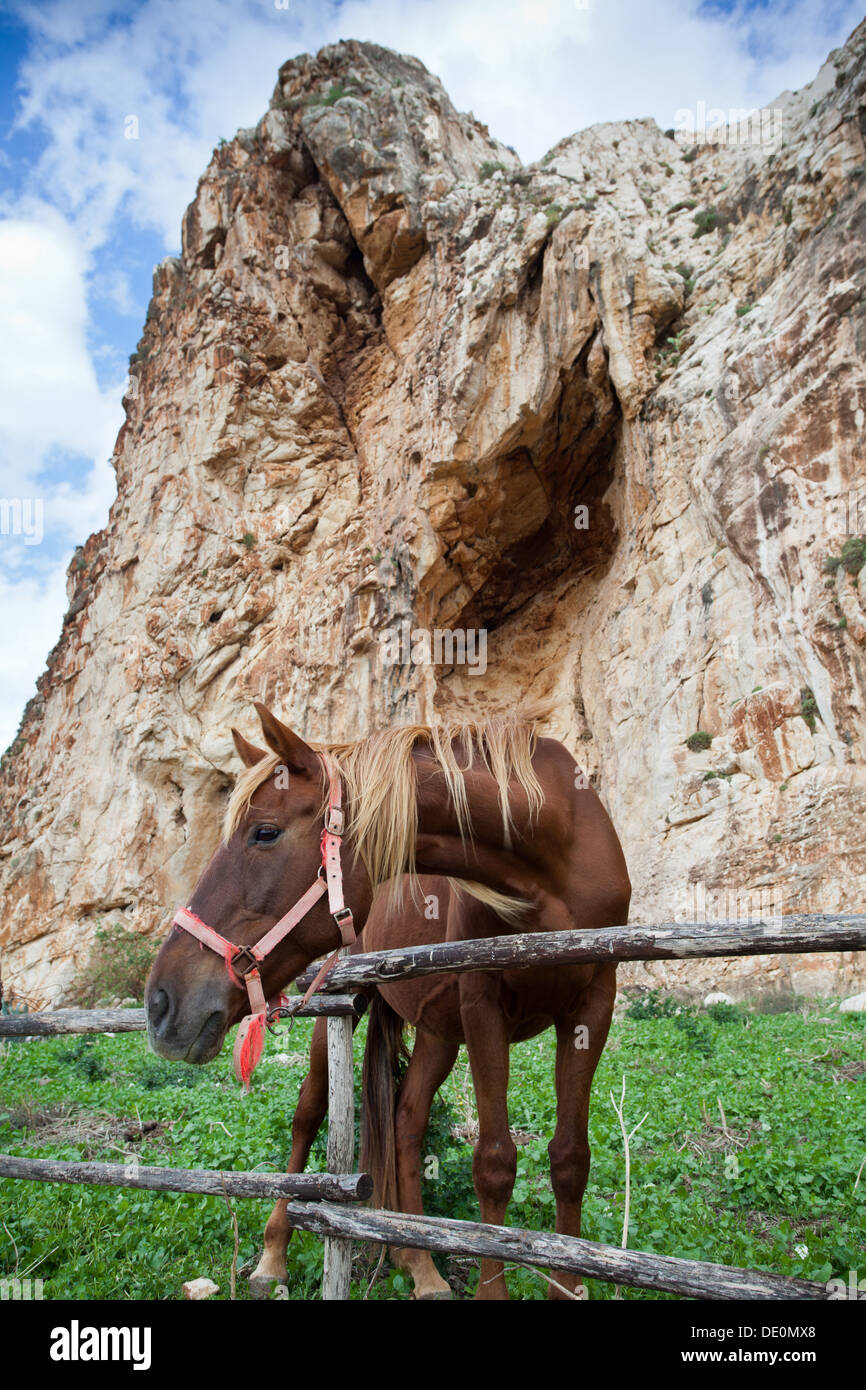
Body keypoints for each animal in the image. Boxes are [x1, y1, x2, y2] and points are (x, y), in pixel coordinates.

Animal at [145, 701, 631, 1299]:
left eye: (265, 832)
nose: (161, 1004)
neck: (553, 857)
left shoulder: (592, 1006)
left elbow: (569, 1159)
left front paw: (568, 1283)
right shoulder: (483, 1005)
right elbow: (495, 1162)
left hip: (439, 1032)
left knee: (406, 1121)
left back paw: (418, 1262)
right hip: (340, 1015)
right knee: (308, 1116)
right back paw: (275, 1255)